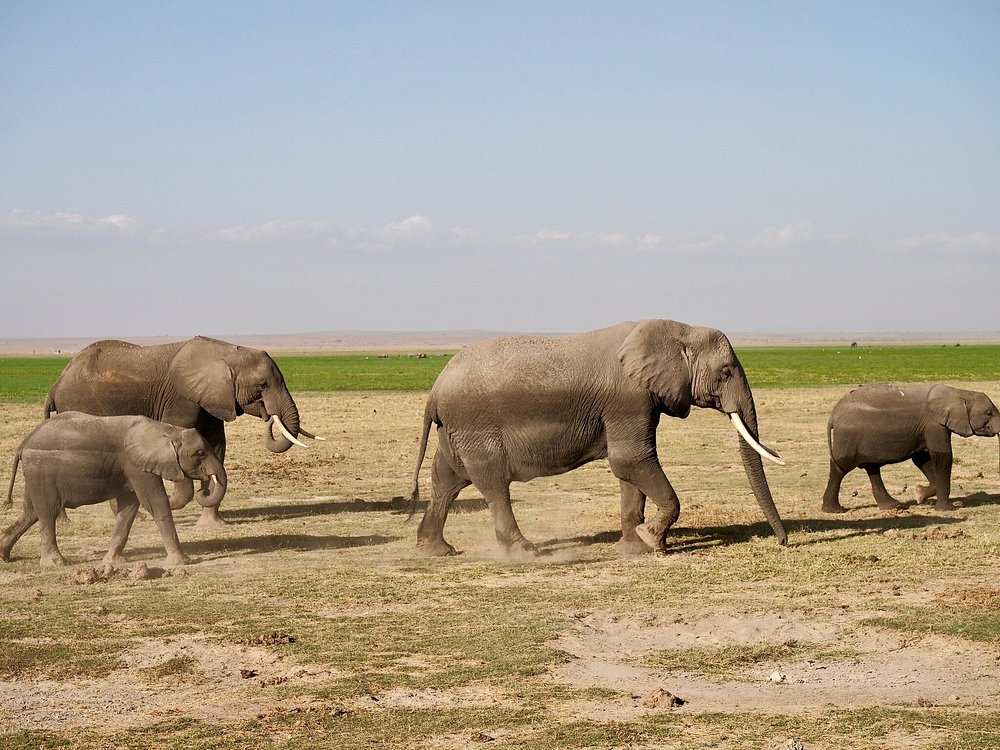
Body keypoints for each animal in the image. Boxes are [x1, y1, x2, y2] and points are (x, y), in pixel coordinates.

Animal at [1, 412, 226, 567]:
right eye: (200, 453)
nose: (204, 491)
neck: (167, 429)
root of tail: (23, 444)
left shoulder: (130, 470)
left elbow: (128, 509)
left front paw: (113, 562)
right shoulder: (136, 466)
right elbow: (156, 503)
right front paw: (182, 562)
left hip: (34, 474)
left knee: (31, 513)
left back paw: (4, 555)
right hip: (42, 471)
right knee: (48, 512)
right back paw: (56, 563)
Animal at [44, 336, 321, 527]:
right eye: (262, 385)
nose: (270, 417)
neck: (226, 352)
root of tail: (56, 385)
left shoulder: (211, 400)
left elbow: (216, 447)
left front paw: (211, 522)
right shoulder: (182, 399)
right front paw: (174, 502)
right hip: (80, 407)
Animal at [409, 319, 787, 557]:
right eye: (725, 373)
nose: (782, 543)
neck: (677, 330)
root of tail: (435, 390)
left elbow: (629, 472)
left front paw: (633, 549)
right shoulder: (629, 400)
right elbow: (631, 460)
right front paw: (652, 541)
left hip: (456, 431)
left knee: (447, 481)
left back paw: (436, 550)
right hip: (475, 425)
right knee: (492, 483)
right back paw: (524, 552)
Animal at [822, 383, 1000, 513]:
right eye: (989, 413)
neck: (959, 393)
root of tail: (833, 415)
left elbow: (922, 459)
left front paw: (919, 494)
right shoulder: (934, 424)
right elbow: (942, 456)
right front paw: (947, 509)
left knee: (871, 468)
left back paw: (894, 506)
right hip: (848, 437)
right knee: (840, 468)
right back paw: (834, 510)